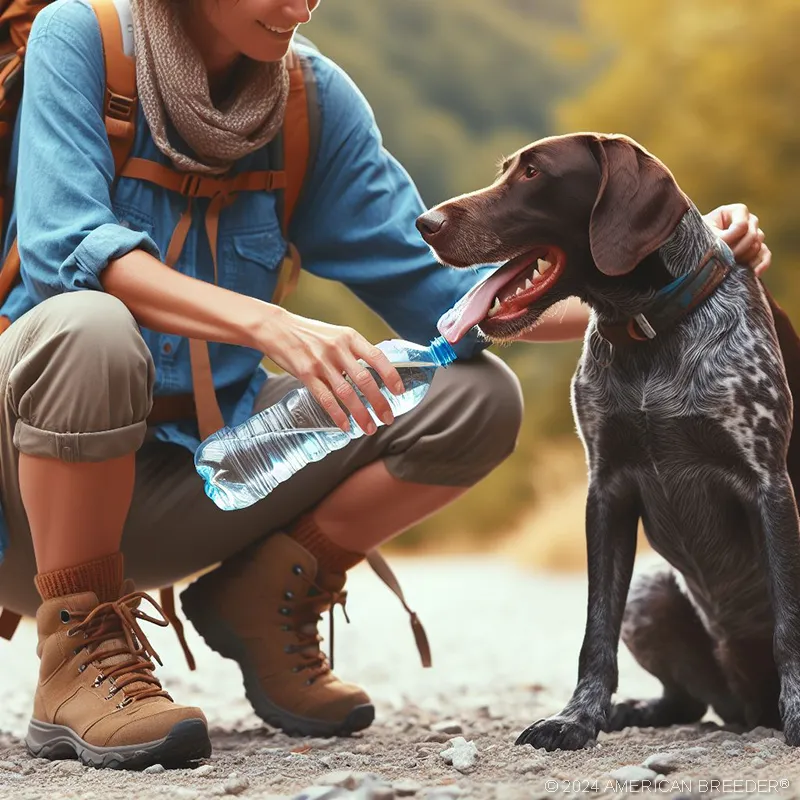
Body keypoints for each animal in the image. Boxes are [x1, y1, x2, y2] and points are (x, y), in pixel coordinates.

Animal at [416, 134, 800, 752]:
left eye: (532, 172)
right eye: (508, 169)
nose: (424, 223)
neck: (649, 327)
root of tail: (750, 705)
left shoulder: (768, 485)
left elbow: (790, 622)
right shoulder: (608, 491)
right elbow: (597, 630)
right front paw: (577, 718)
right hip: (651, 591)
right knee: (689, 701)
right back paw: (634, 710)